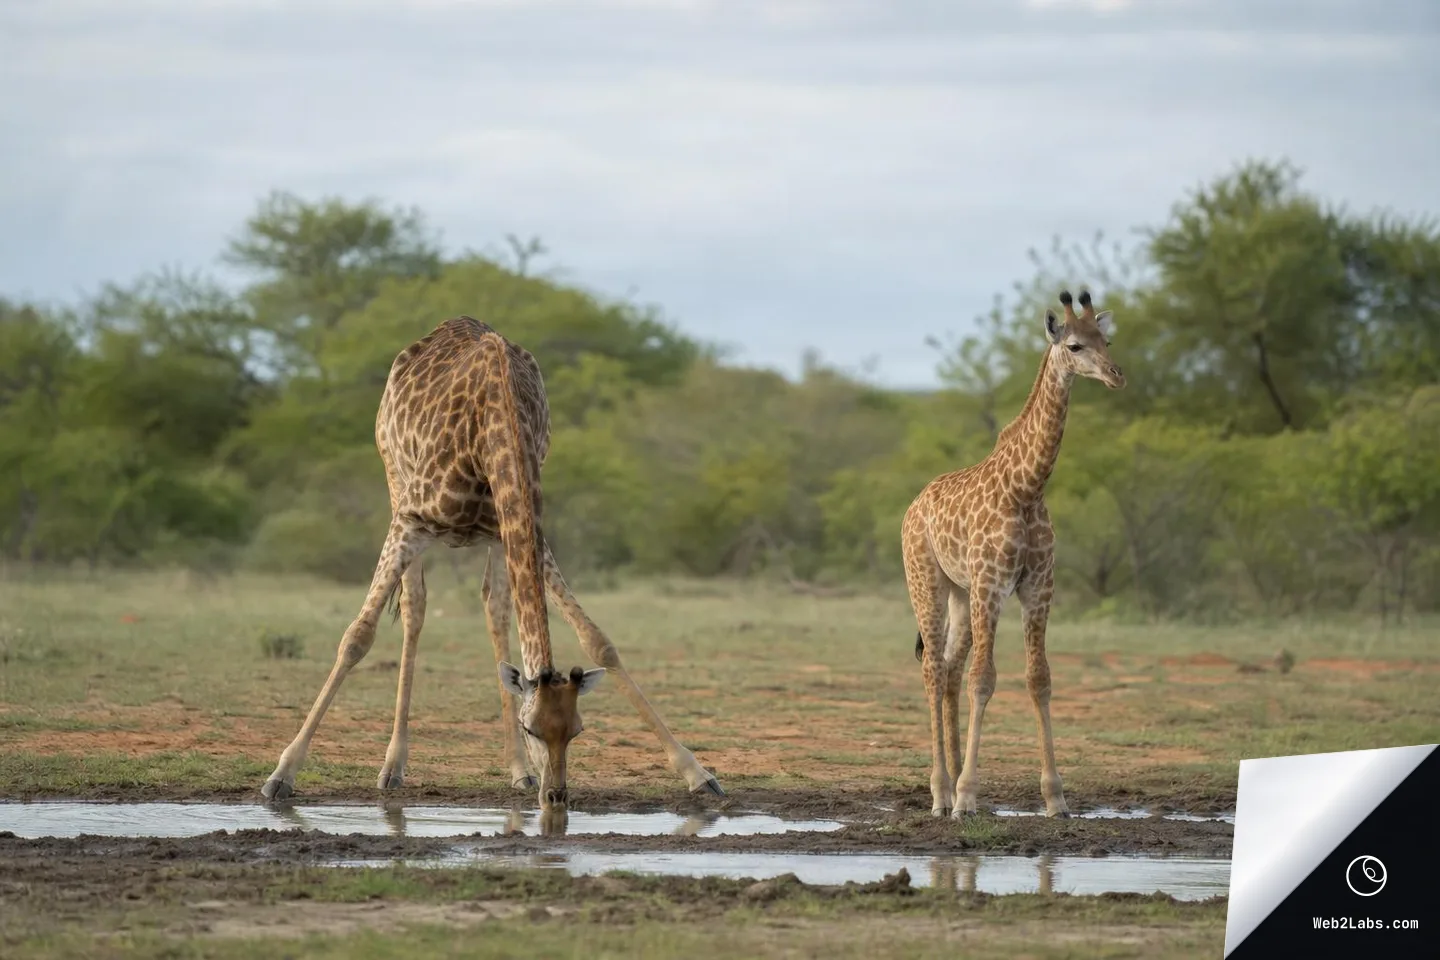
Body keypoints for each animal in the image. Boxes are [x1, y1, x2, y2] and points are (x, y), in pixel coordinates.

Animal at [259, 316, 723, 813]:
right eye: (530, 728)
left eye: (576, 731)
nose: (555, 796)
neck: (492, 429)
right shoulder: (411, 519)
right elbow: (356, 637)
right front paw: (281, 775)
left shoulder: (523, 528)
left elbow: (598, 640)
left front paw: (698, 773)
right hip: (395, 480)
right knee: (416, 605)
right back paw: (393, 766)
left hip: (493, 537)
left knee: (493, 605)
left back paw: (517, 771)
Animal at [903, 290, 1123, 818]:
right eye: (1074, 346)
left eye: (1105, 340)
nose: (1116, 374)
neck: (1026, 488)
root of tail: (913, 505)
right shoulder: (992, 584)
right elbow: (985, 678)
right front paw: (966, 796)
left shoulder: (1038, 587)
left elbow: (1038, 678)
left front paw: (1055, 797)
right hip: (928, 581)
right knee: (933, 668)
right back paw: (941, 793)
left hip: (961, 594)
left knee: (949, 669)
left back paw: (955, 782)